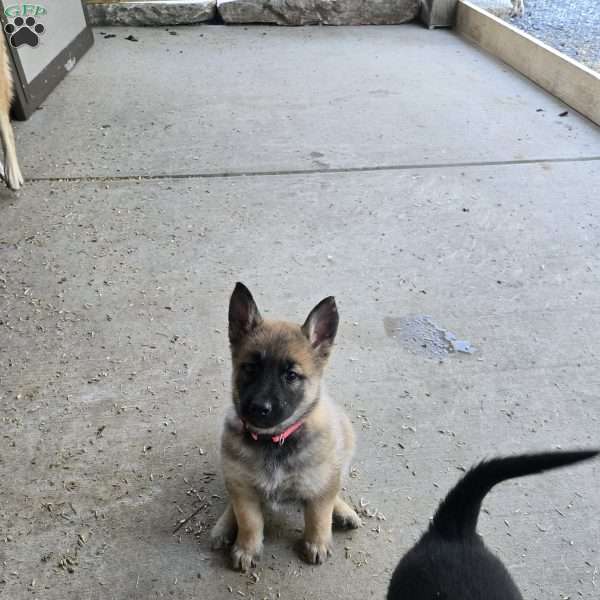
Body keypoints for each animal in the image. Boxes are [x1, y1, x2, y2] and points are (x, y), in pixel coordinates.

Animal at [212, 282, 360, 572]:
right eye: (250, 368)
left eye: (291, 375)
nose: (259, 408)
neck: (274, 440)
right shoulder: (243, 489)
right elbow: (249, 520)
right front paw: (247, 548)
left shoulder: (320, 488)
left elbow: (318, 515)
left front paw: (316, 542)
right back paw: (224, 525)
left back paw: (342, 511)